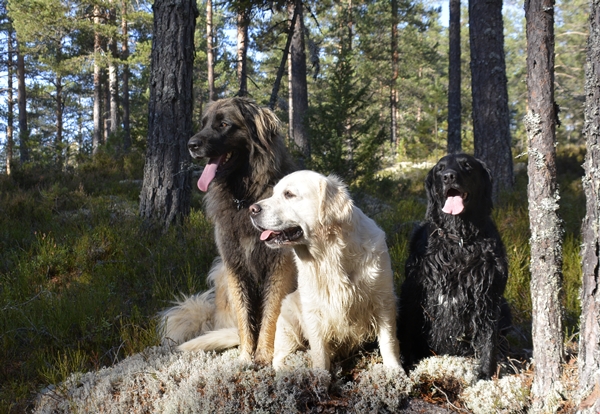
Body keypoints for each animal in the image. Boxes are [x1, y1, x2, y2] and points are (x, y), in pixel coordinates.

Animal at [158, 98, 296, 364]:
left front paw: (263, 354)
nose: (191, 145)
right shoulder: (233, 264)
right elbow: (244, 317)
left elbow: (271, 314)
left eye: (223, 124)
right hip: (220, 275)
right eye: (203, 124)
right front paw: (245, 355)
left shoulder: (279, 266)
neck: (245, 197)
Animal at [248, 169, 404, 372]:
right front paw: (321, 376)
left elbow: (388, 340)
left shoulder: (384, 299)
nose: (251, 209)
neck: (329, 255)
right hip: (288, 320)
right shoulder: (314, 311)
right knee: (279, 357)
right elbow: (320, 352)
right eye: (274, 193)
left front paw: (394, 370)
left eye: (289, 194)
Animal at [398, 153, 510, 378]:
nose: (449, 176)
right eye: (440, 169)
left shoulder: (489, 294)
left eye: (467, 166)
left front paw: (485, 373)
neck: (459, 239)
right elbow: (408, 330)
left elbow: (488, 340)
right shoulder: (414, 290)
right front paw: (408, 364)